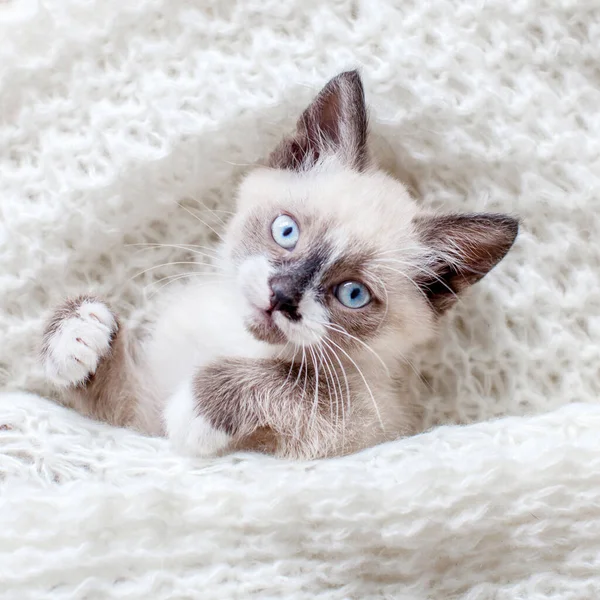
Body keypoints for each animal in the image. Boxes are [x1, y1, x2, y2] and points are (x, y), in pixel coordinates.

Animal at [42, 71, 516, 460]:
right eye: (286, 232)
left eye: (353, 294)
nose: (282, 295)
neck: (237, 341)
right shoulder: (137, 420)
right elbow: (110, 394)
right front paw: (80, 332)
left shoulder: (370, 426)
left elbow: (297, 388)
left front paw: (196, 411)